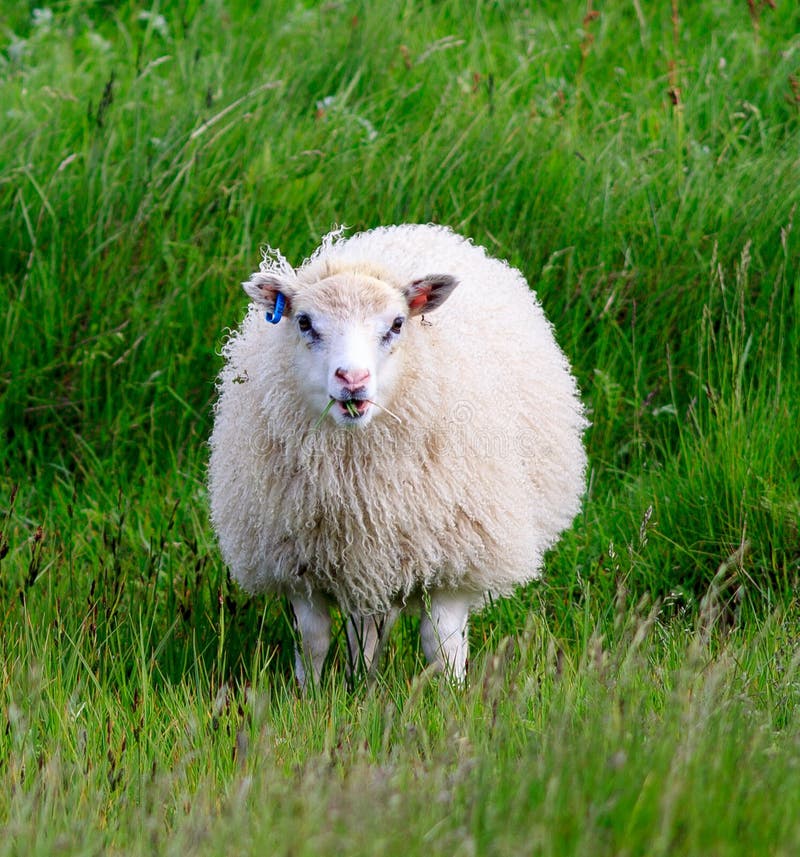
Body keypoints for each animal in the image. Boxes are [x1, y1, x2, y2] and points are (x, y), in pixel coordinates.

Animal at [208, 224, 587, 687]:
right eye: (304, 322)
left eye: (397, 324)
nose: (352, 379)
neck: (357, 473)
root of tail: (417, 230)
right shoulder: (297, 565)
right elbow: (312, 641)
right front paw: (308, 696)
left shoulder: (456, 559)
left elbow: (441, 645)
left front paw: (451, 697)